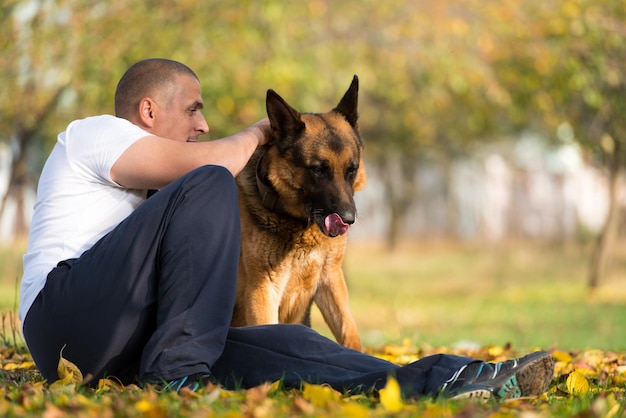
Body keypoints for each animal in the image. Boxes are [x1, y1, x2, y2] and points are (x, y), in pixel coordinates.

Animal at [232, 76, 364, 352]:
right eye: (318, 170)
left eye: (352, 169)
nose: (348, 219)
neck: (301, 227)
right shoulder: (262, 291)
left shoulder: (331, 280)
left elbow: (350, 335)